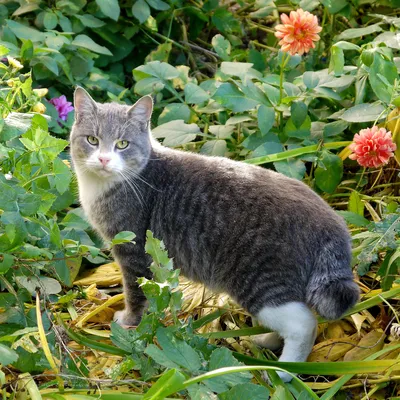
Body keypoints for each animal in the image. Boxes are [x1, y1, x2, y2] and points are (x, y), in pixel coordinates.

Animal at [69, 87, 360, 382]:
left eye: (123, 144)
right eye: (92, 140)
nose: (104, 159)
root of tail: (332, 221)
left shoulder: (134, 253)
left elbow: (136, 294)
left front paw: (129, 324)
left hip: (261, 282)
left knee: (304, 324)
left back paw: (282, 372)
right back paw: (265, 341)